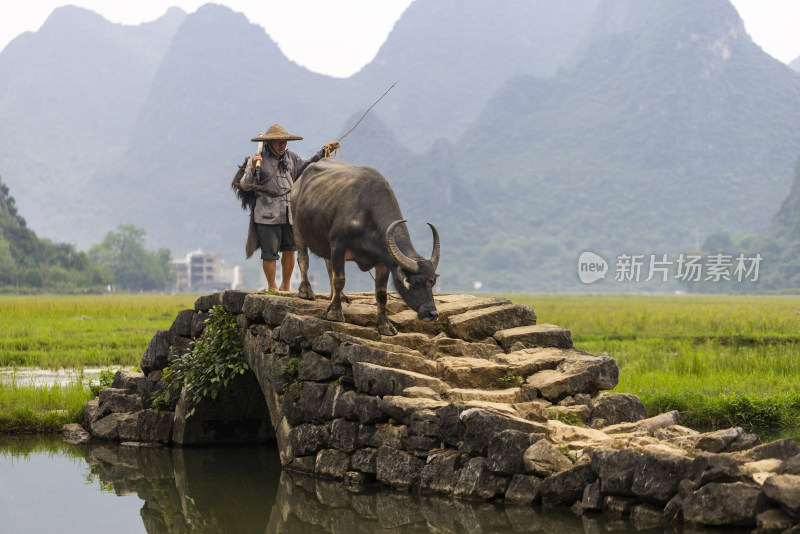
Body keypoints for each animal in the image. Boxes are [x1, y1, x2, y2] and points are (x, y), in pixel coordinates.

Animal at [290, 157, 440, 338]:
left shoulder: (383, 260)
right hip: (297, 227)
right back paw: (306, 291)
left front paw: (385, 325)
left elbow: (381, 293)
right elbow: (339, 279)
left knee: (328, 265)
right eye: (416, 282)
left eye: (432, 282)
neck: (365, 214)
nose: (432, 313)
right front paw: (335, 312)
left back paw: (337, 296)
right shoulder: (338, 245)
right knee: (303, 259)